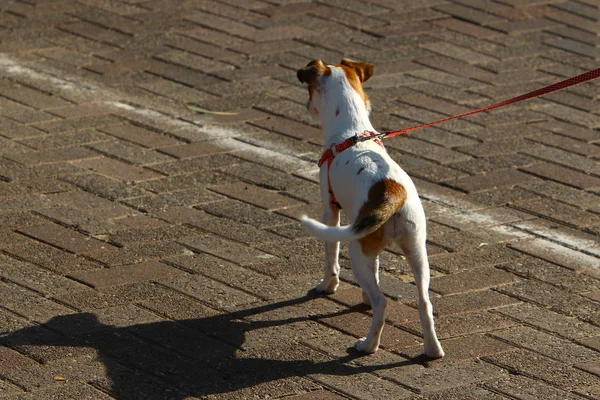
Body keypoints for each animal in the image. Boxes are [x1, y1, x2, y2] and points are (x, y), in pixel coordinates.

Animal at [296, 58, 442, 356]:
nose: (305, 105)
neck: (352, 131)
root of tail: (393, 195)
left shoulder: (331, 212)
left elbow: (331, 255)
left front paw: (327, 286)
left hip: (357, 250)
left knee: (382, 302)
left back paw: (368, 345)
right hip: (416, 252)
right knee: (424, 302)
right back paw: (433, 350)